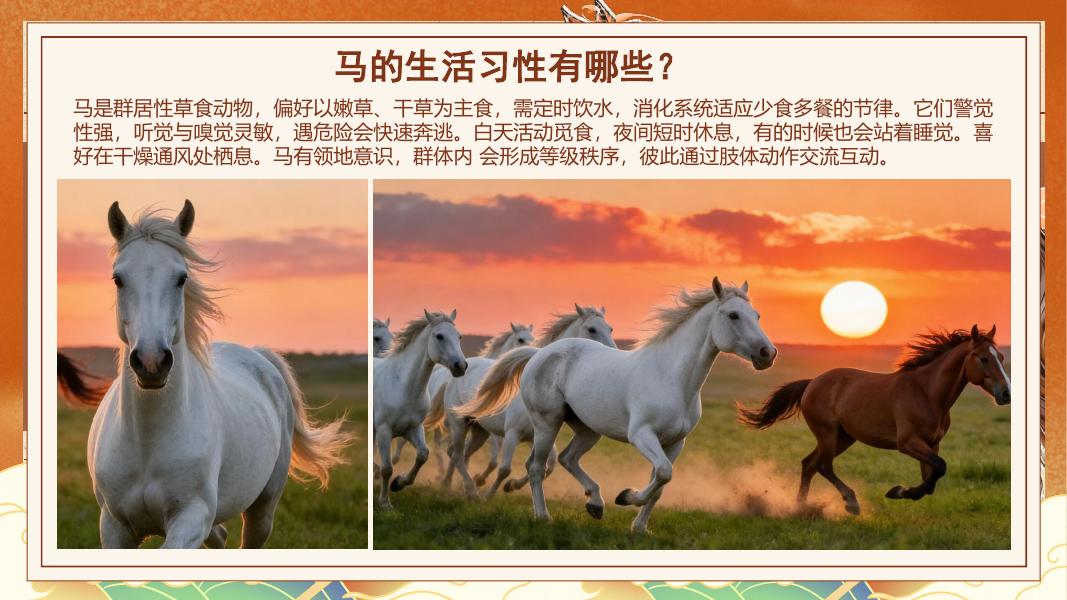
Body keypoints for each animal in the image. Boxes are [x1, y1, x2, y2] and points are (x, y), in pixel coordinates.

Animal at [86, 201, 353, 548]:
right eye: (118, 278)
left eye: (181, 278)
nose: (151, 361)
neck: (147, 441)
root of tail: (259, 357)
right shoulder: (114, 527)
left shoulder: (191, 518)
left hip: (262, 508)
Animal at [373, 310, 467, 509]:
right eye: (439, 336)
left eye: (459, 336)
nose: (461, 366)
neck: (404, 386)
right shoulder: (385, 430)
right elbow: (387, 468)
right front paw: (385, 503)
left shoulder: (413, 428)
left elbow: (423, 455)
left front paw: (399, 483)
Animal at [443, 306, 617, 498]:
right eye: (592, 329)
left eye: (610, 329)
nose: (612, 353)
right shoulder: (512, 433)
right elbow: (505, 469)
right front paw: (488, 495)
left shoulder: (536, 435)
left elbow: (547, 465)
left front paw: (511, 485)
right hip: (459, 424)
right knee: (456, 454)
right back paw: (466, 489)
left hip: (479, 430)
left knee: (460, 453)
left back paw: (458, 485)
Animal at [473, 277, 775, 532]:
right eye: (733, 315)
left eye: (758, 315)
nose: (768, 353)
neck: (672, 377)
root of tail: (540, 353)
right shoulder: (641, 434)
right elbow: (663, 473)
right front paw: (627, 496)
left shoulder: (675, 443)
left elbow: (662, 483)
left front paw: (639, 527)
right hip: (547, 423)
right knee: (536, 467)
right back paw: (543, 516)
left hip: (587, 429)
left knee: (567, 458)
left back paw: (595, 504)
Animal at [738, 325, 1010, 516]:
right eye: (984, 358)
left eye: (1001, 357)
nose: (1006, 394)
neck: (927, 393)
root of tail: (812, 382)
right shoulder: (907, 443)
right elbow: (939, 468)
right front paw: (896, 491)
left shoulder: (933, 443)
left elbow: (931, 479)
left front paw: (904, 492)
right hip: (828, 434)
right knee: (823, 466)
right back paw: (851, 503)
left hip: (844, 437)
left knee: (809, 464)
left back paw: (801, 508)